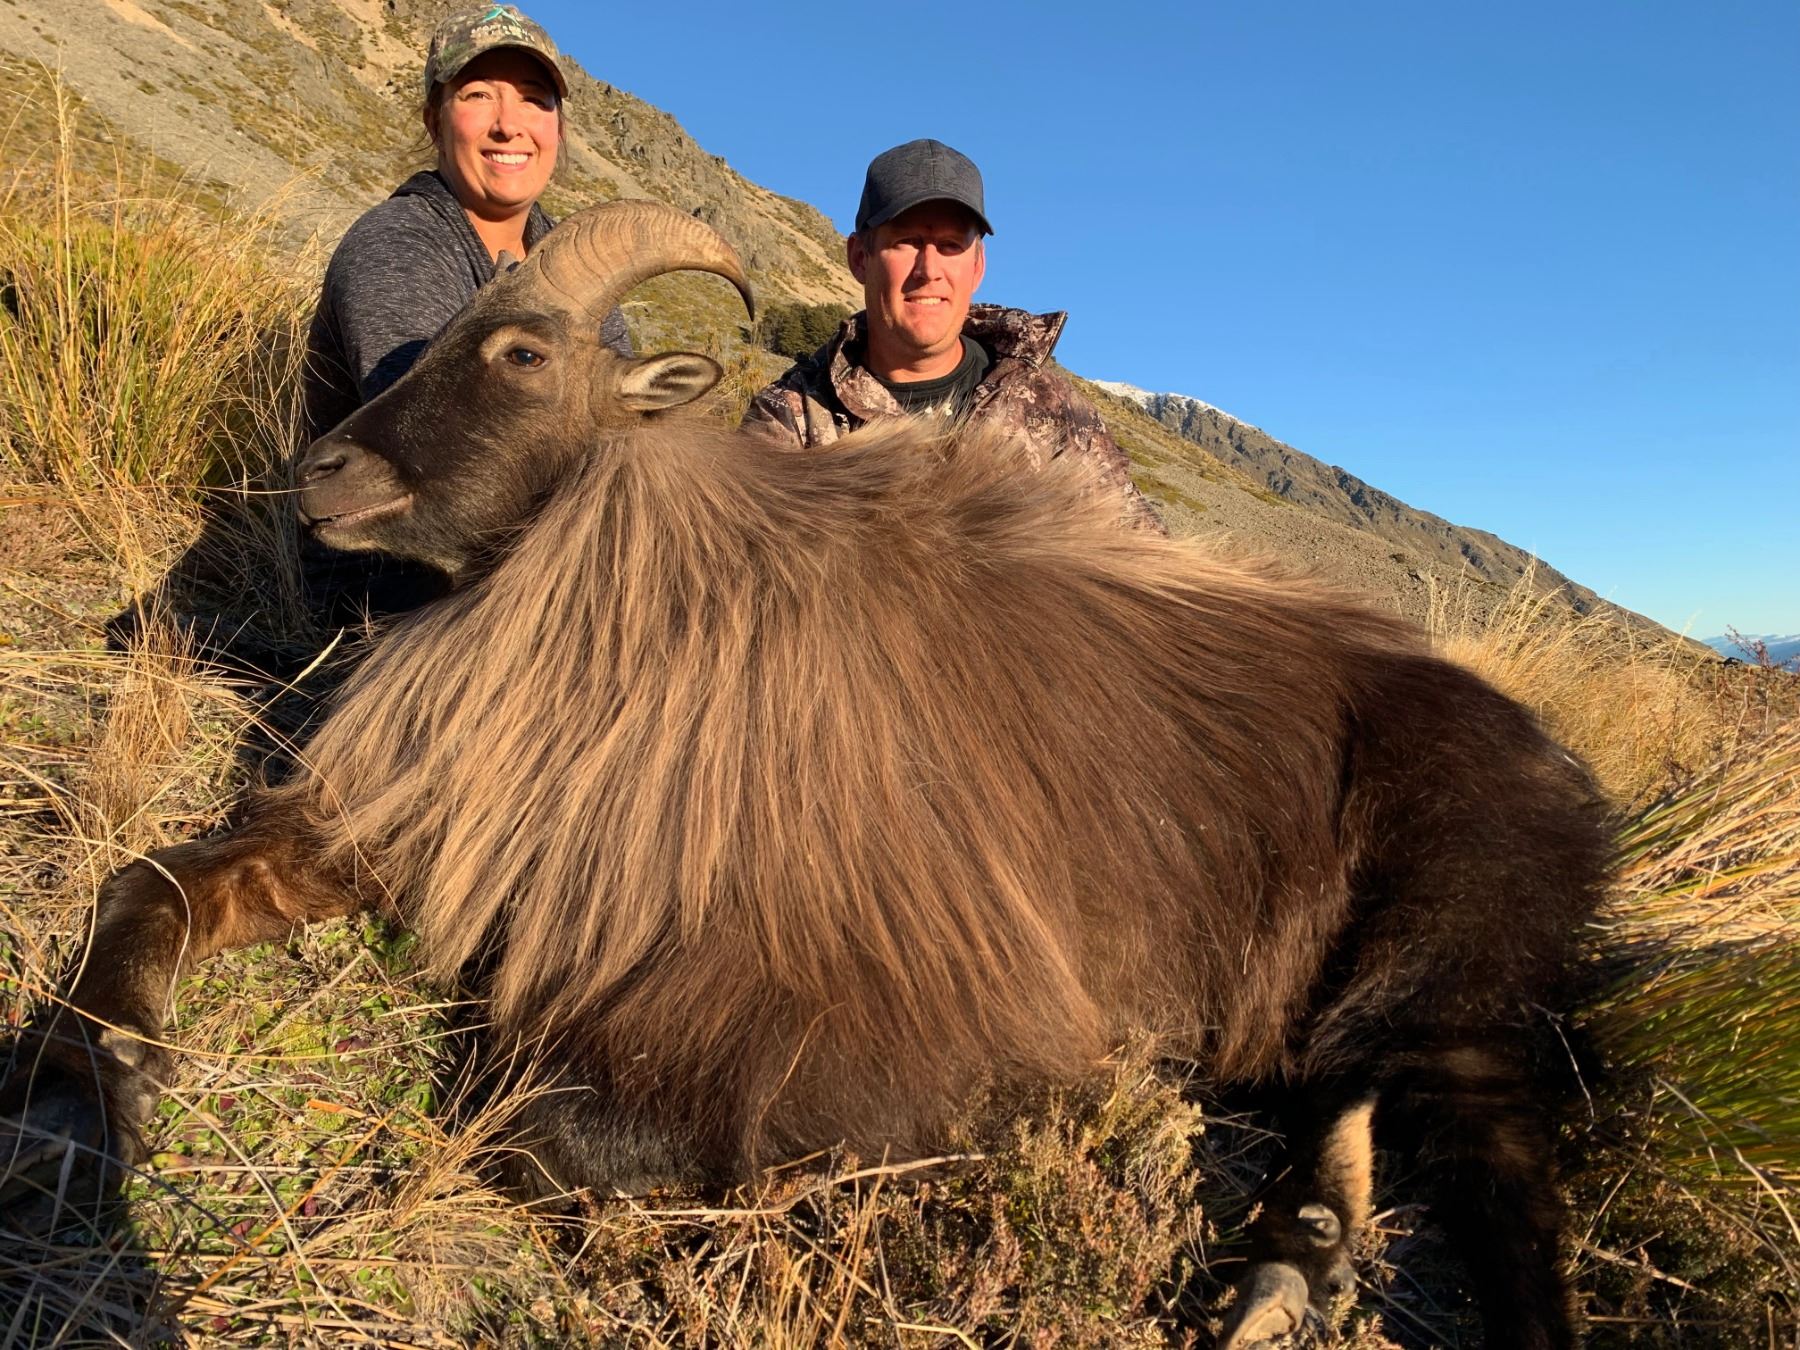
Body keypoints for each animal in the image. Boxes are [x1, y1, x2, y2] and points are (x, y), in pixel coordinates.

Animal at [0, 201, 1611, 1348]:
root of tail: (1554, 756)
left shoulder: (841, 1007)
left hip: (1450, 949)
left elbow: (541, 1122)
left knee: (1491, 1145)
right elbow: (151, 885)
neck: (637, 608)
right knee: (1347, 1092)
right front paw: (98, 1075)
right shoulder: (399, 827)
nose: (324, 474)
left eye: (521, 354)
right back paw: (1294, 1253)